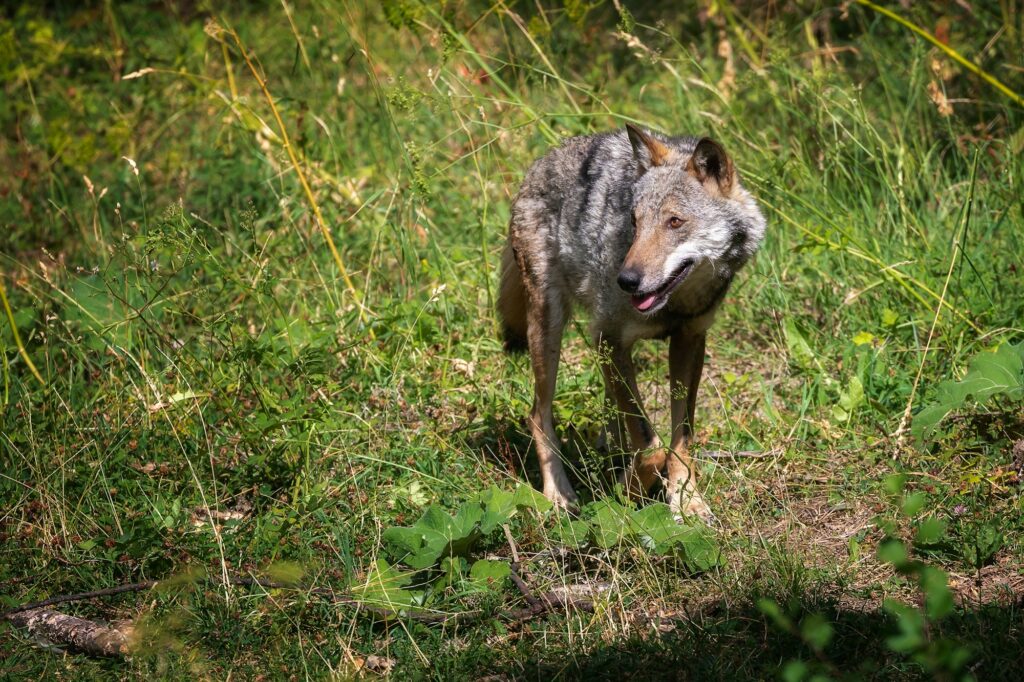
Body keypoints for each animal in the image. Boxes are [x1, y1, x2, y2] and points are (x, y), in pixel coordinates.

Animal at [495, 122, 770, 518]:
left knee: (610, 409)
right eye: (635, 222)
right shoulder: (608, 337)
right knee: (537, 414)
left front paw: (686, 500)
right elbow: (651, 444)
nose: (625, 281)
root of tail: (539, 164)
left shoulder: (689, 339)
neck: (677, 304)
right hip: (550, 330)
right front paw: (629, 490)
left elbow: (680, 436)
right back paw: (558, 495)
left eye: (674, 222)